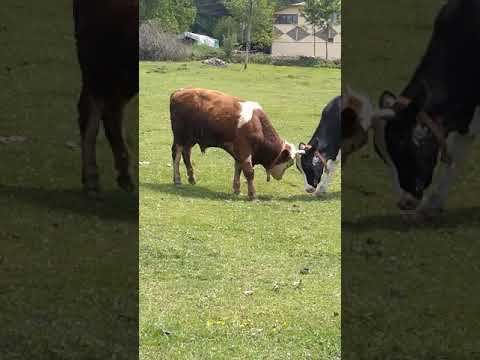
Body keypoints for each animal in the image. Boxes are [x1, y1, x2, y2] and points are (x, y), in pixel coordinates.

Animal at [73, 0, 138, 198]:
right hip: (99, 66)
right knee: (92, 112)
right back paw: (92, 180)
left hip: (121, 73)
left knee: (111, 112)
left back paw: (124, 176)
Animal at [171, 88, 302, 200]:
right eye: (289, 163)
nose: (280, 177)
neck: (258, 125)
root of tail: (179, 92)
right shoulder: (244, 151)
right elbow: (249, 172)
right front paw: (252, 195)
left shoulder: (238, 152)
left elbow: (238, 168)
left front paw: (237, 189)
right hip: (179, 137)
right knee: (176, 155)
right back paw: (177, 179)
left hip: (190, 138)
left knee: (186, 154)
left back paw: (191, 178)